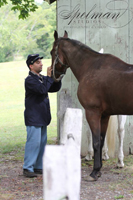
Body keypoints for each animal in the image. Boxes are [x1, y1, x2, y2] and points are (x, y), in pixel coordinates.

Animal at [50, 30, 133, 181]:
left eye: (52, 52)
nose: (54, 75)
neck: (90, 67)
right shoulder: (105, 115)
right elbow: (100, 139)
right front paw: (98, 169)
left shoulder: (92, 112)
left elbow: (96, 142)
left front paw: (94, 171)